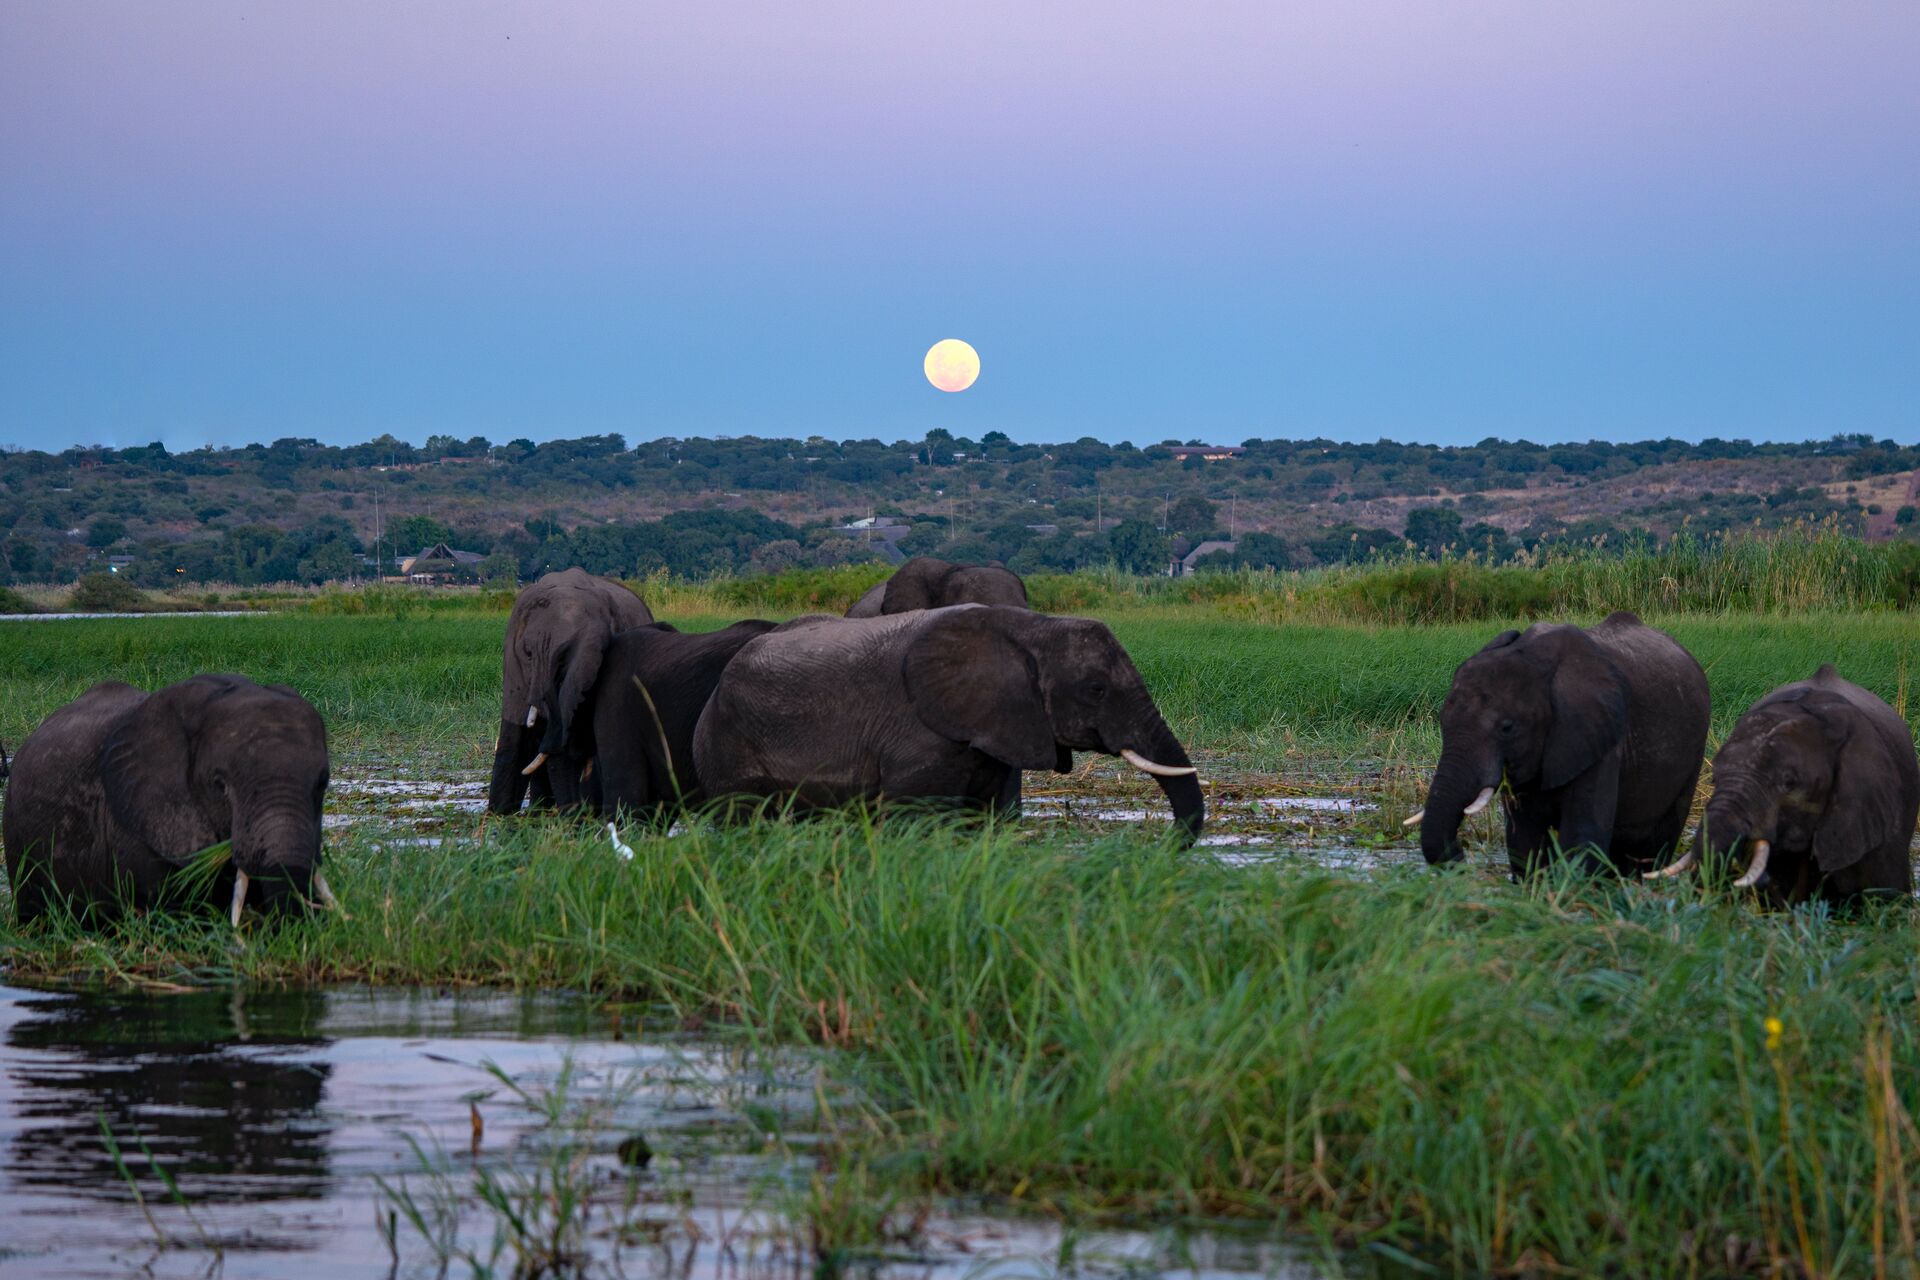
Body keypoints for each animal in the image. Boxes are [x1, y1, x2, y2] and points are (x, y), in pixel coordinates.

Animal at [693, 605, 1204, 839]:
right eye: (1097, 689)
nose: (1165, 848)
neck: (1031, 626)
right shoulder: (919, 736)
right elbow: (915, 821)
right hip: (728, 746)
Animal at [1408, 611, 1710, 877]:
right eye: (1443, 721)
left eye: (1507, 728)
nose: (1463, 859)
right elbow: (1524, 838)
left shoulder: (1602, 738)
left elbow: (1582, 835)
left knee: (1656, 845)